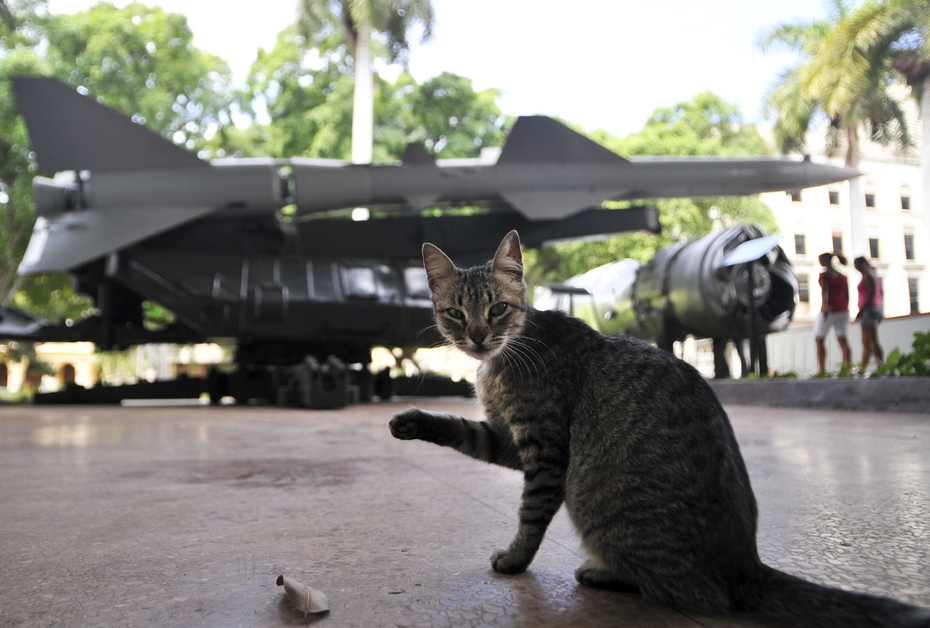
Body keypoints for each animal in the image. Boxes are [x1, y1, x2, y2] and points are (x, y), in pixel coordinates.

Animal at [390, 231, 928, 628]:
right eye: (455, 313)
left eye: (497, 308)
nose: (478, 337)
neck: (506, 356)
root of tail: (747, 565)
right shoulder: (508, 439)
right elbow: (462, 430)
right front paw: (411, 421)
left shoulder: (545, 449)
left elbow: (531, 515)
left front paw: (516, 559)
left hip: (591, 499)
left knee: (701, 596)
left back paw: (604, 573)